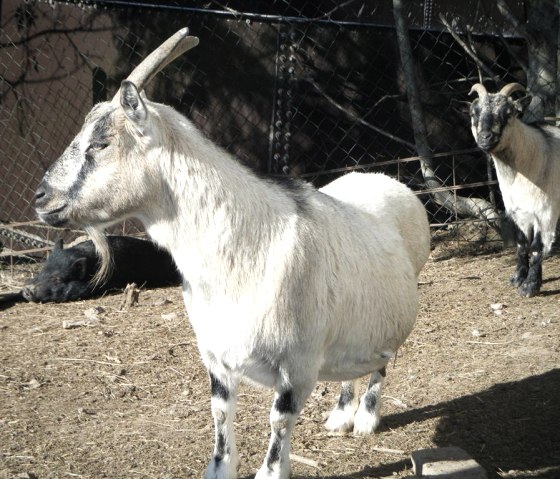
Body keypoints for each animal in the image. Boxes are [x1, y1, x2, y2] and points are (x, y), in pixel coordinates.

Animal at [470, 84, 556, 298]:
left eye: (508, 113)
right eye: (474, 113)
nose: (485, 137)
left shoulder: (545, 210)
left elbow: (536, 247)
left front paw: (530, 286)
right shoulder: (518, 210)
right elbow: (521, 243)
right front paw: (518, 278)